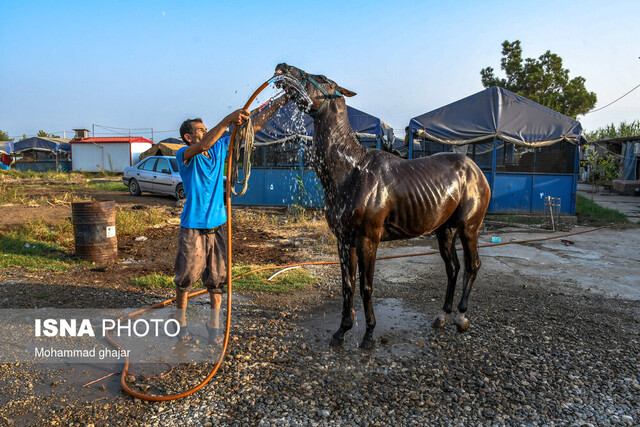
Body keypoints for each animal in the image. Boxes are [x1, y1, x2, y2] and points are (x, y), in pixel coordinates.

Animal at [274, 63, 490, 352]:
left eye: (320, 78)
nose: (283, 68)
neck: (352, 170)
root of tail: (476, 170)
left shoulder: (368, 239)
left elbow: (366, 286)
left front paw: (368, 335)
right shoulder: (344, 240)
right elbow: (348, 286)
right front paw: (342, 331)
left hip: (469, 227)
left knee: (472, 265)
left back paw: (461, 317)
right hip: (444, 230)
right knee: (452, 268)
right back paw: (442, 314)